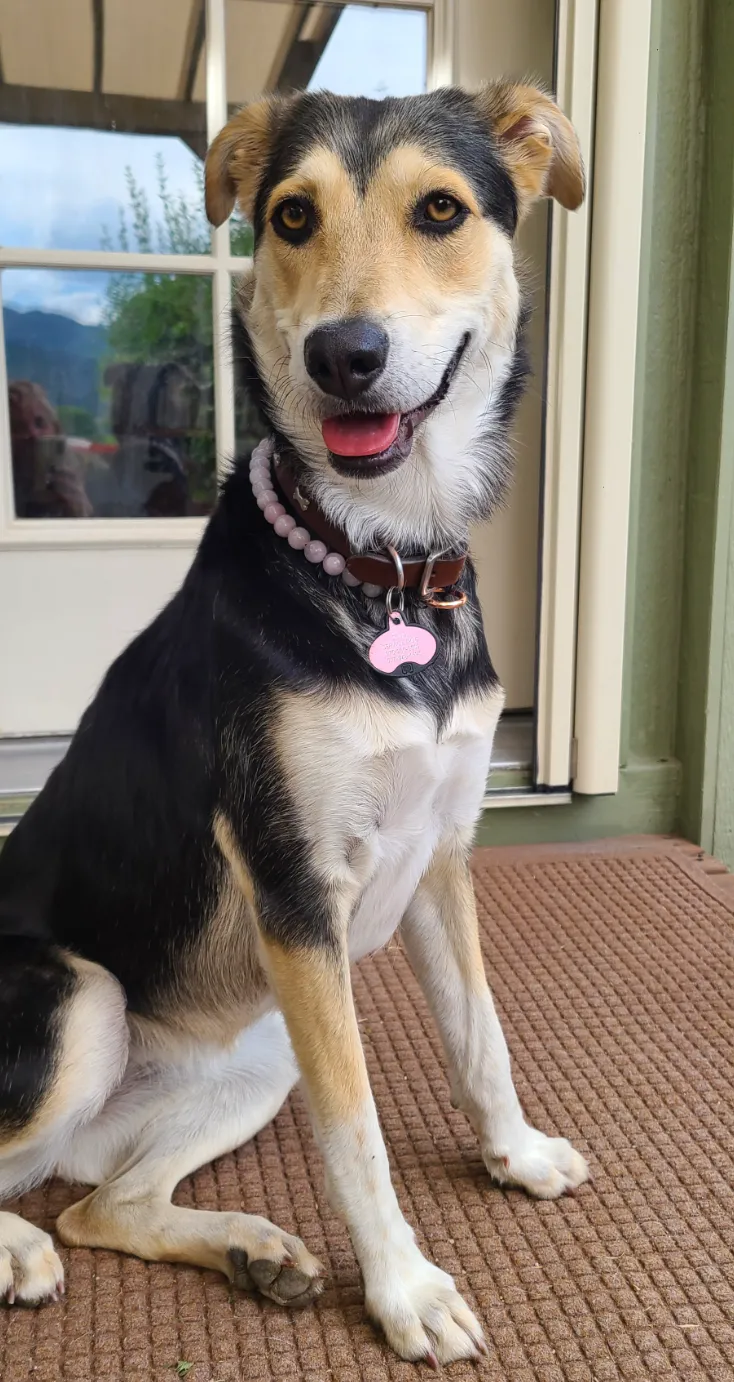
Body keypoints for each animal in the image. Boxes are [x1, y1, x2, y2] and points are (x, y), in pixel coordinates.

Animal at [0, 89, 586, 1370]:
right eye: (291, 217)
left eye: (439, 211)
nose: (341, 357)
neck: (381, 562)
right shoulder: (293, 886)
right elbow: (355, 1127)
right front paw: (406, 1289)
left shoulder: (442, 857)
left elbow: (482, 1034)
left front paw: (513, 1153)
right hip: (86, 996)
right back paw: (21, 1251)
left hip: (255, 1051)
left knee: (99, 1202)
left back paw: (250, 1251)